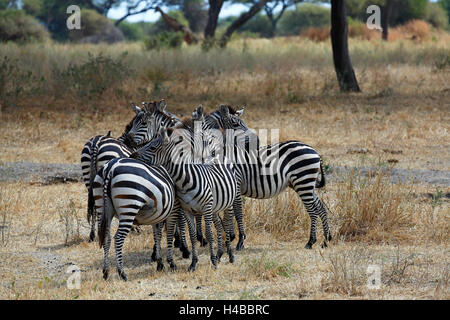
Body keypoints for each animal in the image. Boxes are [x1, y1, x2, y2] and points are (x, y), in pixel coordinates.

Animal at [132, 122, 241, 270]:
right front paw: (194, 263)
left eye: (153, 147)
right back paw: (219, 254)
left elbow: (208, 234)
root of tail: (217, 156)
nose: (132, 155)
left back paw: (230, 255)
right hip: (215, 206)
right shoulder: (188, 210)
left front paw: (212, 262)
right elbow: (193, 235)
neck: (184, 181)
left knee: (227, 222)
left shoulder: (205, 208)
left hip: (227, 203)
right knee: (219, 225)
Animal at [200, 105, 330, 250]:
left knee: (313, 210)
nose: (256, 141)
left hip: (303, 182)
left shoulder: (236, 185)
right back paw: (325, 240)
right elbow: (228, 213)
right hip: (306, 183)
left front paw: (240, 241)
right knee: (321, 207)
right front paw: (228, 238)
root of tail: (314, 151)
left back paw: (311, 241)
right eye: (235, 124)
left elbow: (238, 213)